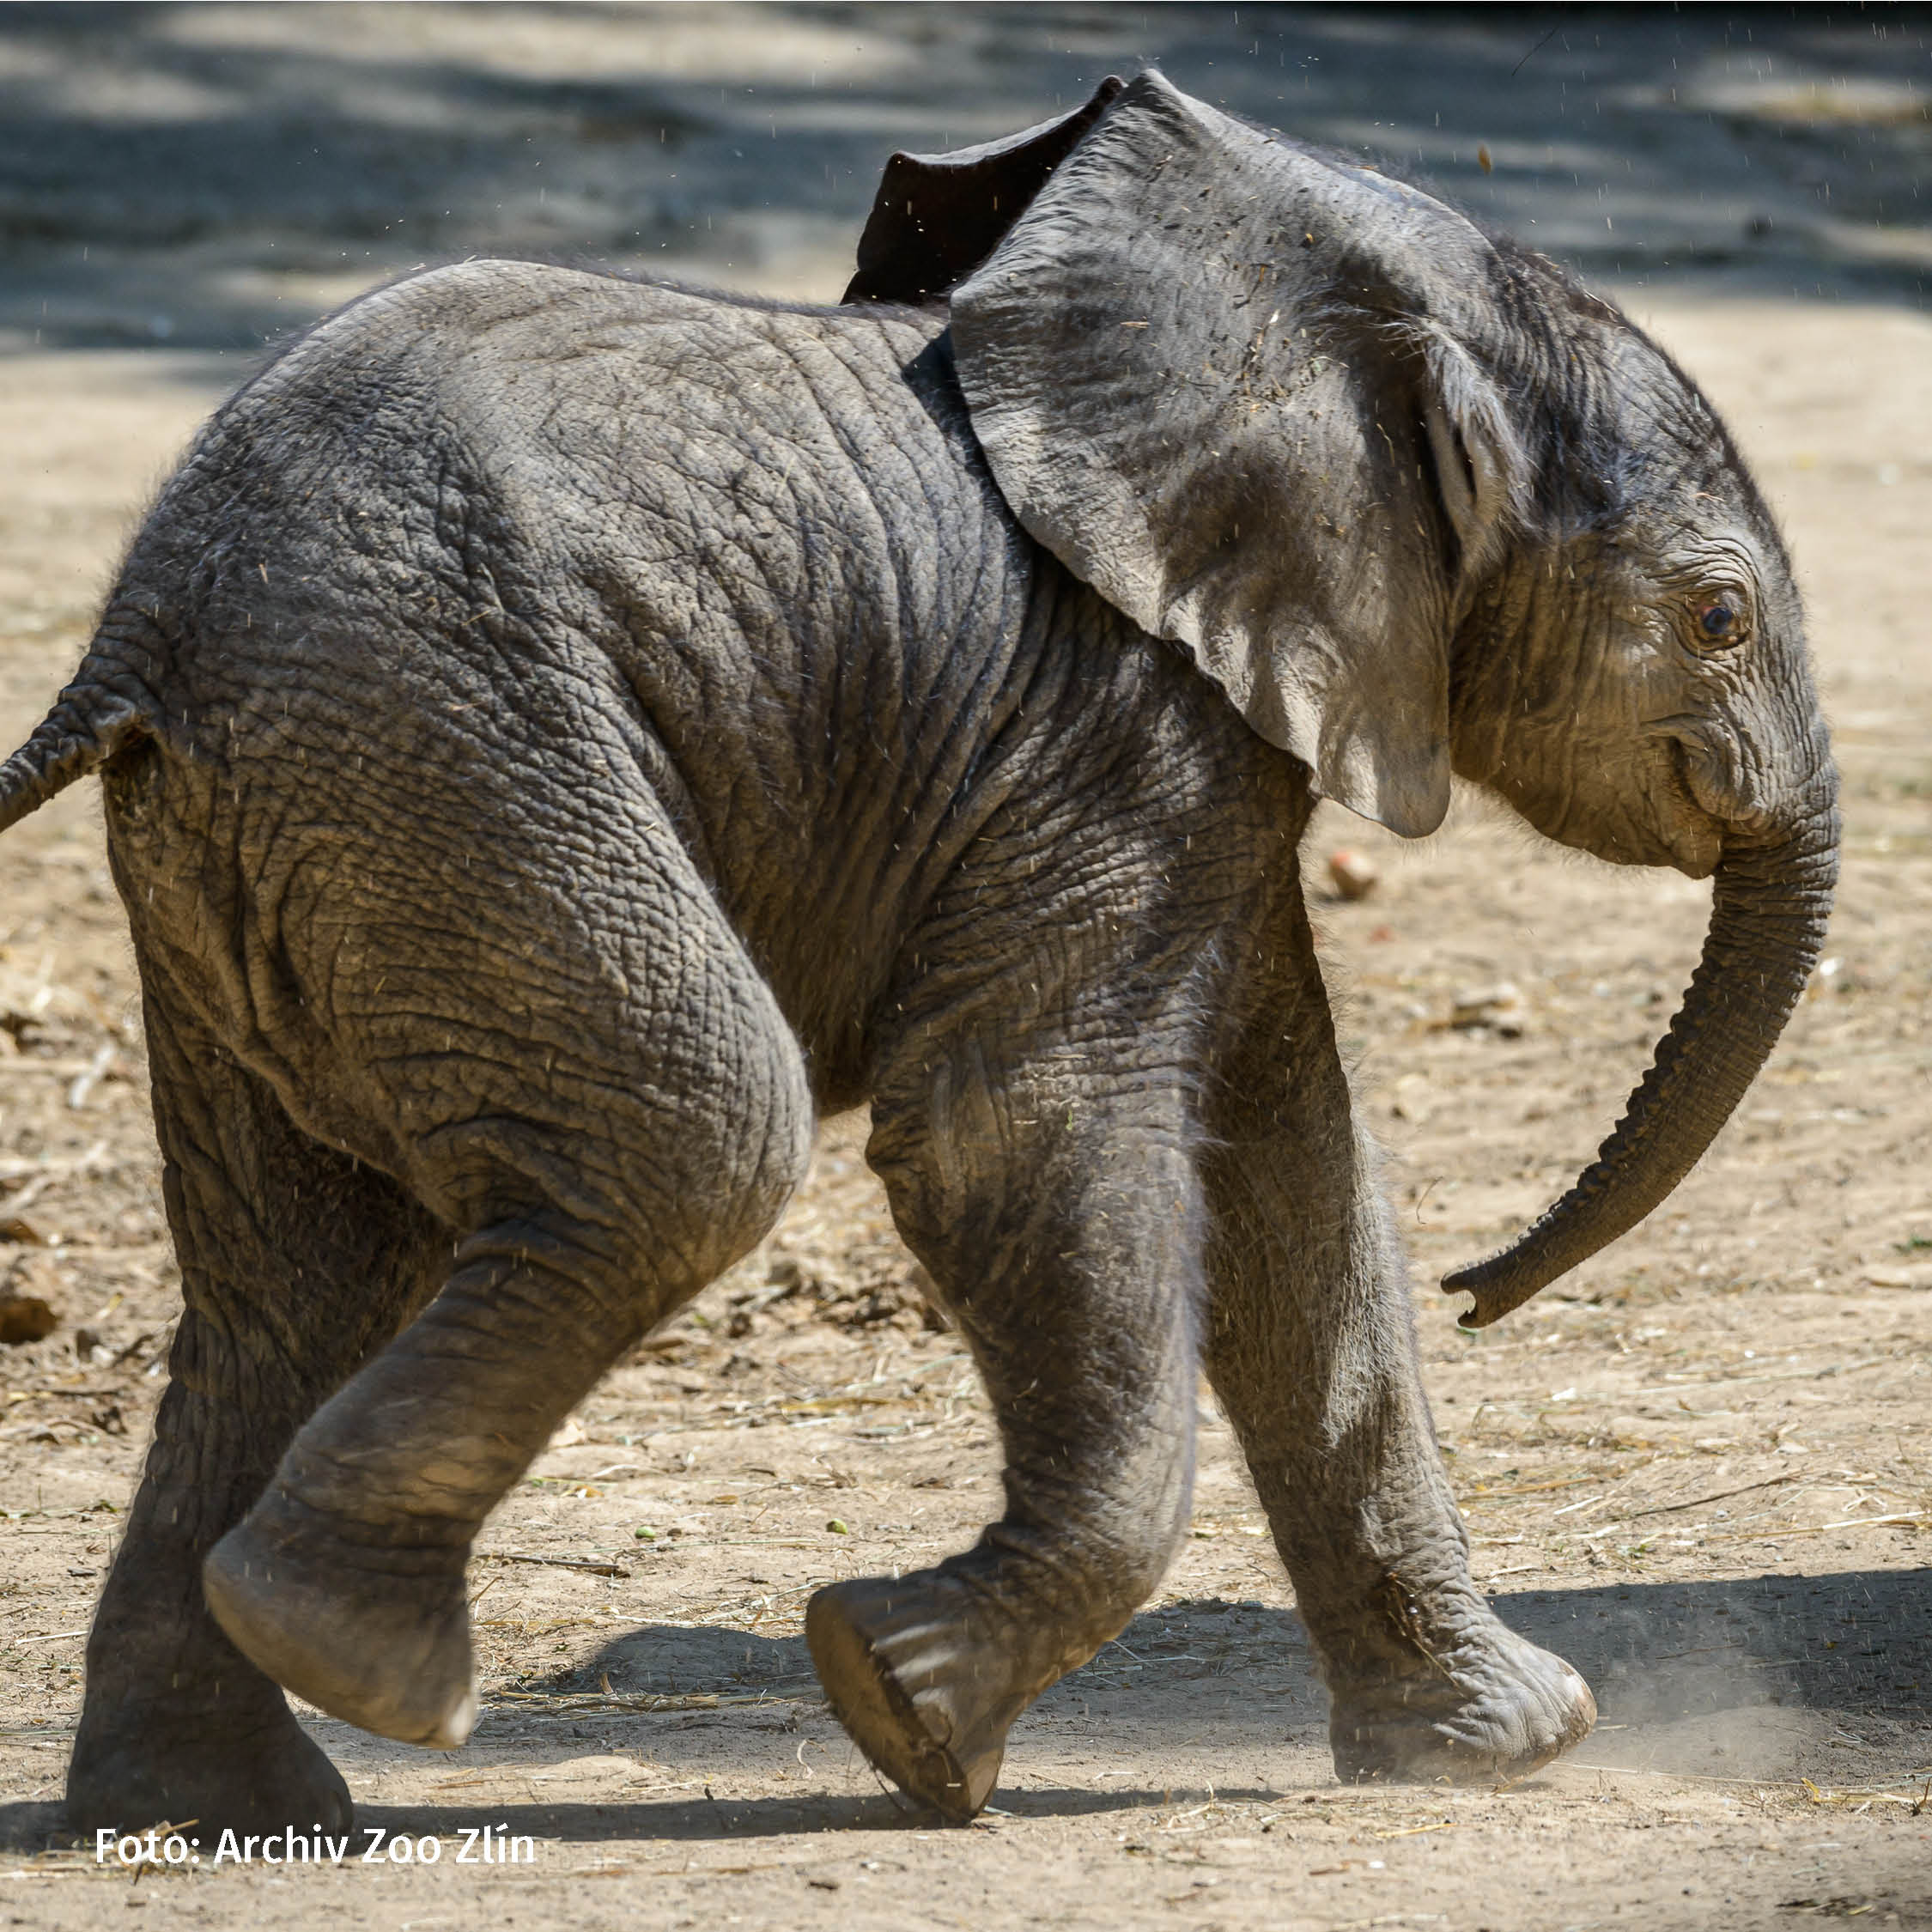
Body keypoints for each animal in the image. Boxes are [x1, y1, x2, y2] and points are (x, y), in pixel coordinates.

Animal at [11, 71, 1824, 1824]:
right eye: (1719, 619)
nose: (1482, 1290)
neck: (1360, 304)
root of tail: (139, 636)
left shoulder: (1193, 739)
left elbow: (1287, 1177)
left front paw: (1502, 1748)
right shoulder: (1117, 709)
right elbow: (1016, 1129)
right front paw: (911, 1723)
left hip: (300, 830)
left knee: (295, 1284)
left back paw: (207, 1796)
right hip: (447, 760)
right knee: (694, 1139)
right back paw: (367, 1667)